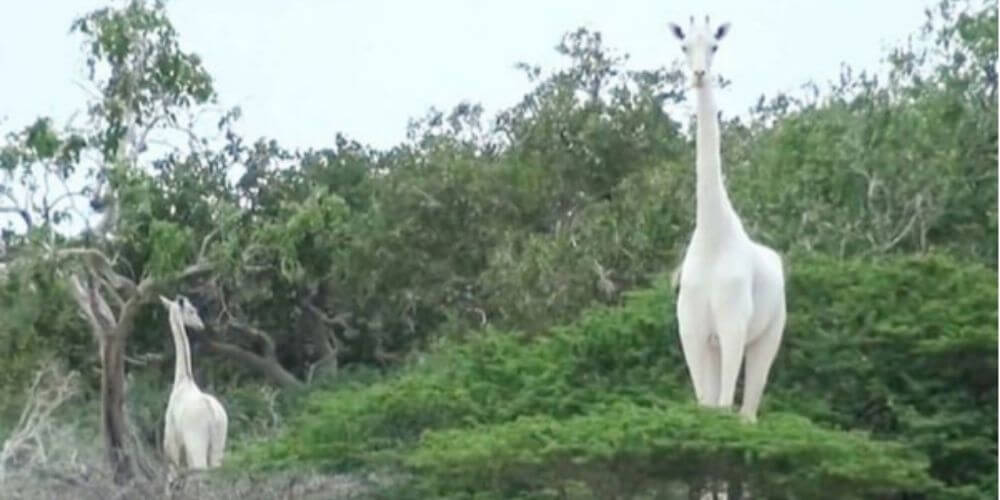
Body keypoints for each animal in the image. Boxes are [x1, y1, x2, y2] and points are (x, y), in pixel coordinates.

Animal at [158, 294, 229, 486]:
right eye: (191, 310)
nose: (200, 325)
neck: (183, 380)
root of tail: (213, 415)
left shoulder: (172, 441)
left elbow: (172, 477)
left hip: (196, 441)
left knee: (201, 471)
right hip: (219, 441)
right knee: (216, 471)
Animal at [668, 15, 784, 424]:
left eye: (715, 46)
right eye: (684, 45)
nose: (699, 74)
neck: (712, 238)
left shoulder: (734, 325)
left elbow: (723, 406)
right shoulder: (691, 329)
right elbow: (706, 403)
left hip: (769, 334)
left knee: (748, 410)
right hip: (716, 343)